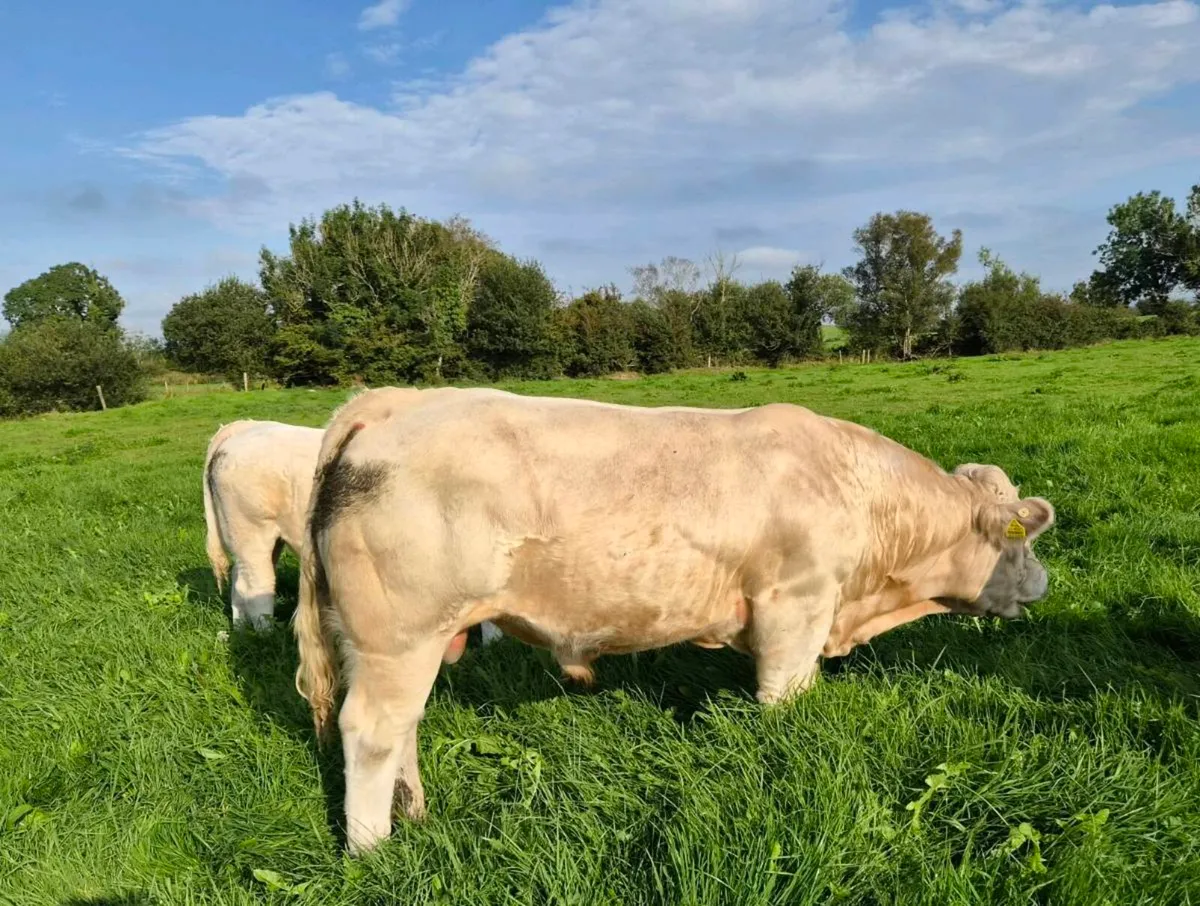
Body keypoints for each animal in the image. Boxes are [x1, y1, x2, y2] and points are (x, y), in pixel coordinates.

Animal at [291, 387, 1055, 854]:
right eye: (1022, 540)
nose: (1044, 584)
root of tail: (400, 402)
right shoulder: (795, 605)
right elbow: (783, 702)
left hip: (387, 641)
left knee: (402, 728)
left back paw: (414, 814)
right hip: (399, 635)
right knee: (371, 733)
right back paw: (372, 850)